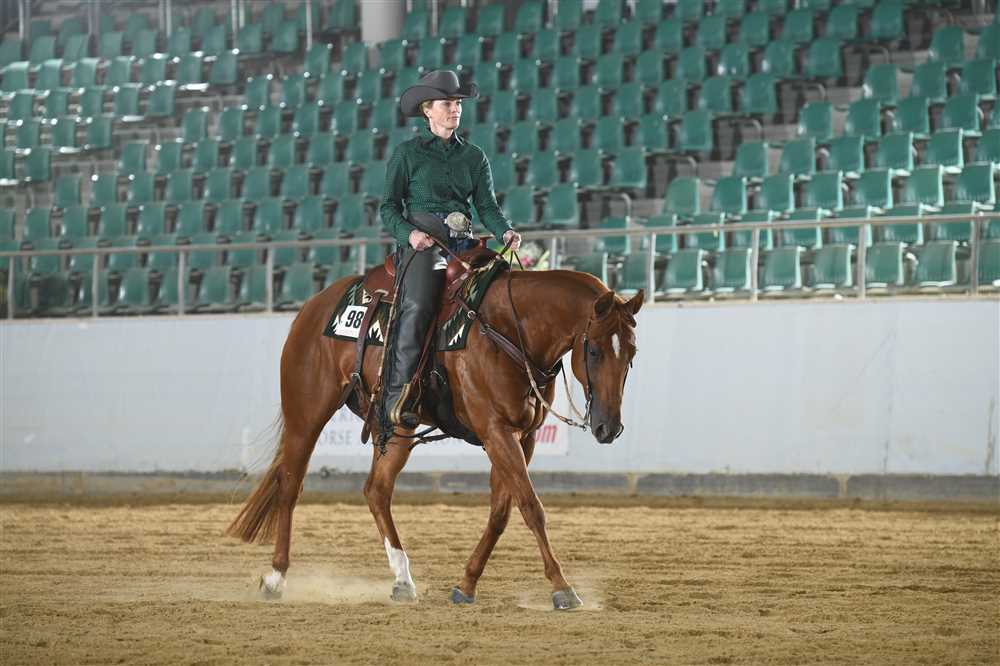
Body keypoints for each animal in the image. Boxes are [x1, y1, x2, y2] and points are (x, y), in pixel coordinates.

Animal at [226, 257, 643, 610]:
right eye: (594, 351)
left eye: (632, 353)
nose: (609, 427)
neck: (509, 330)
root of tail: (313, 307)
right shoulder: (496, 431)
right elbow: (531, 507)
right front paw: (562, 588)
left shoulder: (522, 436)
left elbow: (501, 512)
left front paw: (466, 584)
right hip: (306, 413)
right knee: (290, 485)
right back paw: (276, 578)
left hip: (397, 426)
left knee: (376, 490)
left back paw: (403, 580)